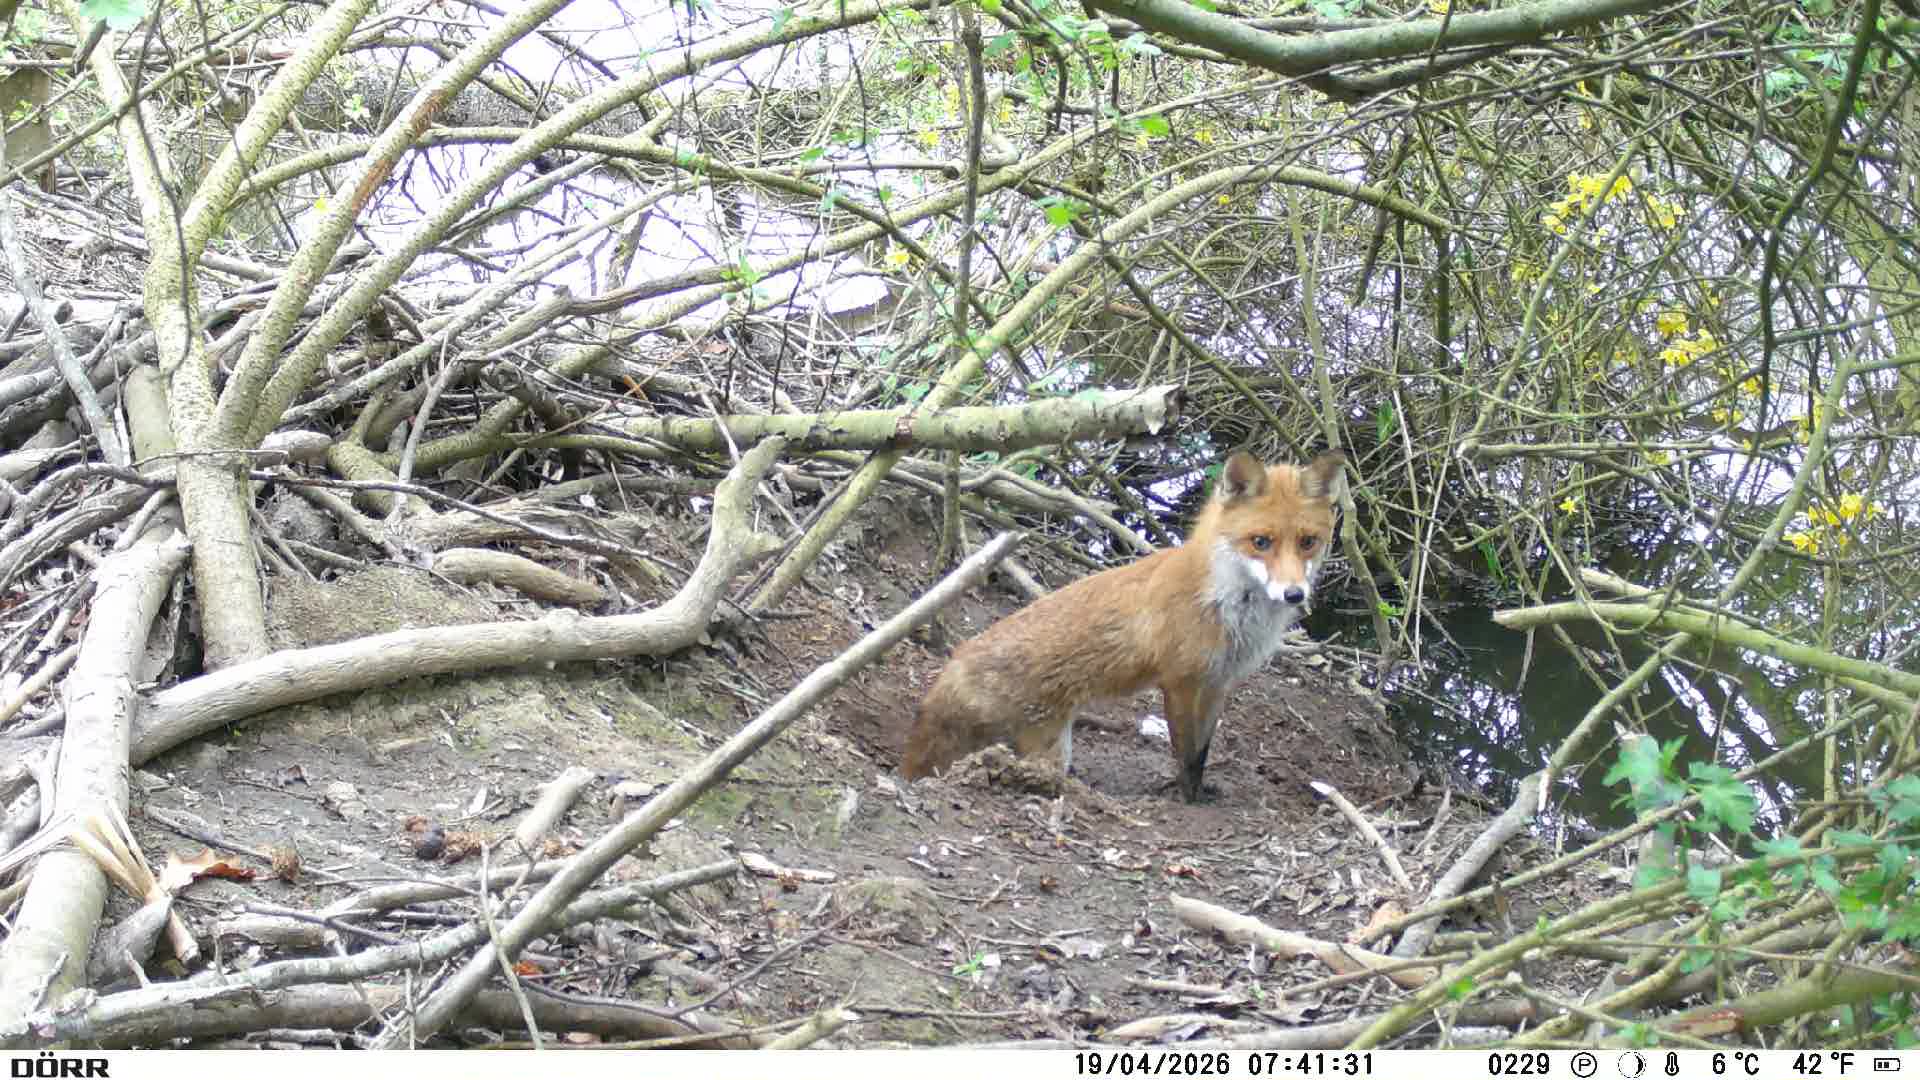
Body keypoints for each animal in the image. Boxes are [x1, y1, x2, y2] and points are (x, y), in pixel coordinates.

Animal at [902, 450, 1345, 802]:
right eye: (1261, 542)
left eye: (1307, 542)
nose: (1294, 594)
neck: (1226, 605)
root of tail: (951, 667)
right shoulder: (1180, 681)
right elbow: (1185, 754)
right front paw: (1188, 801)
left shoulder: (1219, 682)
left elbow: (1202, 752)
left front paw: (1202, 792)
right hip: (1045, 744)